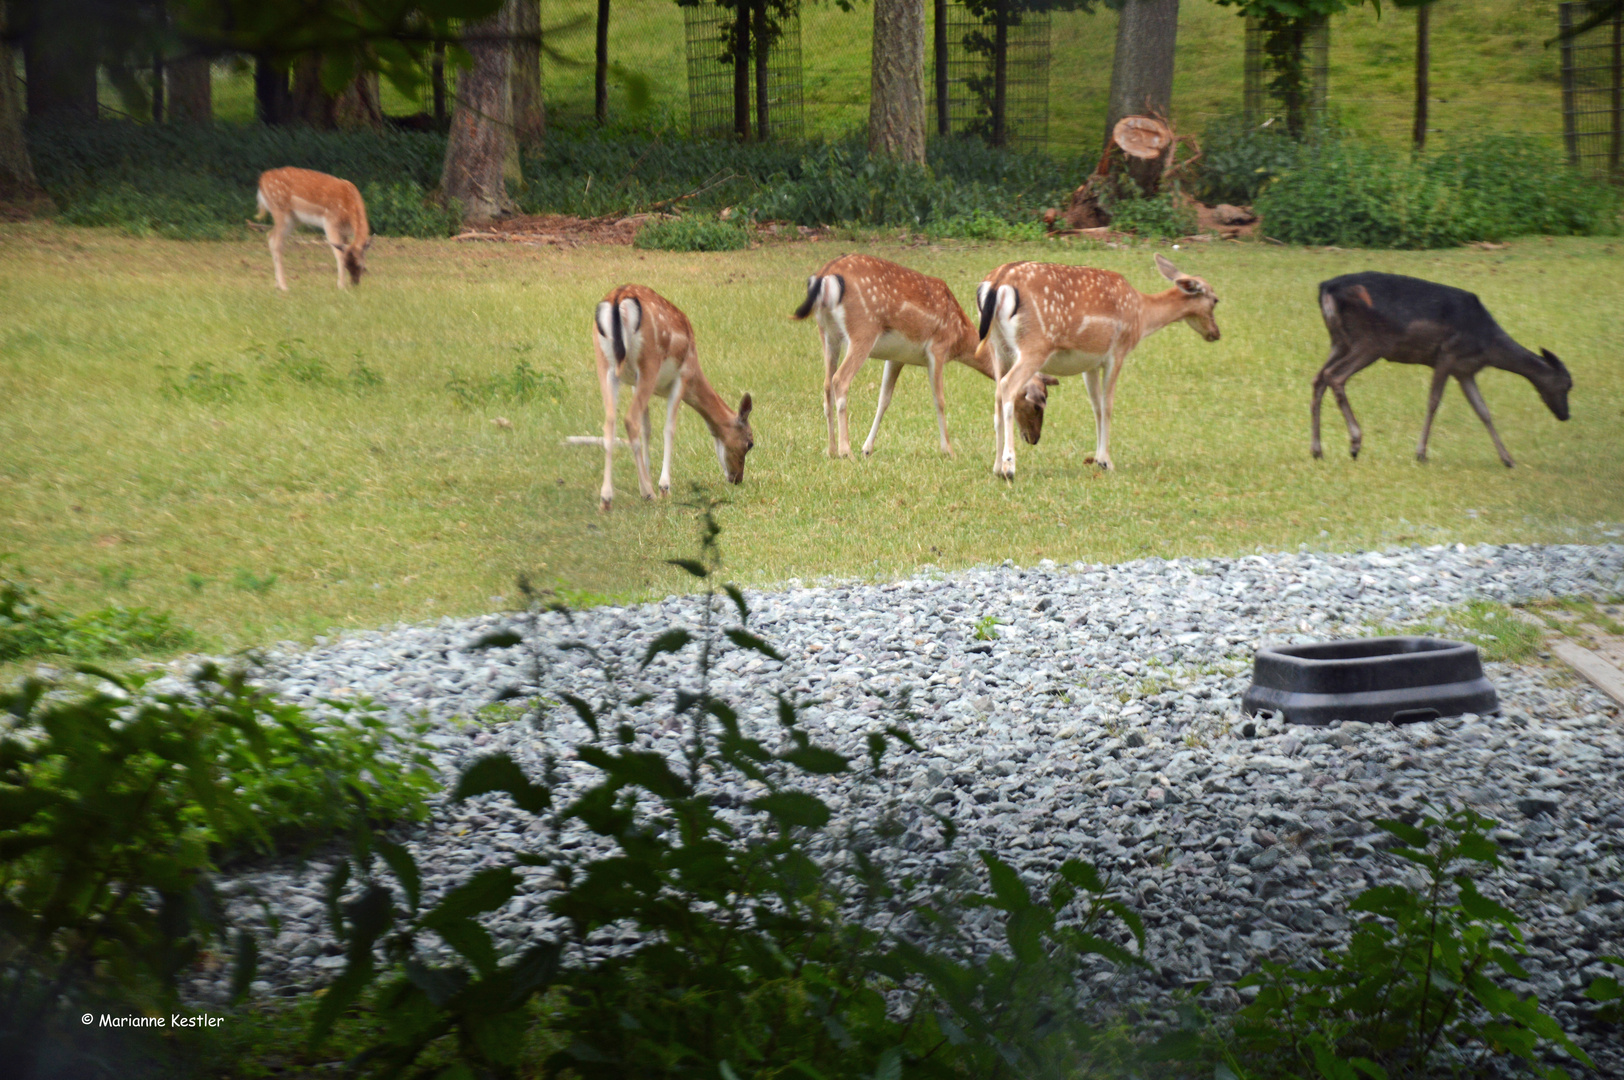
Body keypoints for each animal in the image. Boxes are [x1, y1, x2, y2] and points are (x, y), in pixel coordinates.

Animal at [591, 282, 753, 509]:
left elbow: (647, 428)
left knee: (610, 422)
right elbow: (669, 429)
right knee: (630, 419)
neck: (695, 374)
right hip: (649, 362)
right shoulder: (682, 377)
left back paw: (606, 498)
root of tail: (618, 299)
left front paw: (646, 477)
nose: (737, 478)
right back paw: (647, 493)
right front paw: (663, 487)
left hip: (605, 365)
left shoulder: (633, 383)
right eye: (750, 443)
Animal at [789, 254, 1052, 457]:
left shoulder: (897, 356)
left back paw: (831, 450)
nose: (1035, 438)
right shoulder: (937, 348)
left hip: (827, 333)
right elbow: (940, 400)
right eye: (1037, 405)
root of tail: (825, 276)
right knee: (840, 380)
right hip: (862, 330)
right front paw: (949, 450)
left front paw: (867, 448)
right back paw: (846, 451)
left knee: (826, 384)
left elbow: (884, 399)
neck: (959, 338)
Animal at [974, 254, 1221, 477]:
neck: (1142, 317)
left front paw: (1098, 458)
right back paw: (1009, 467)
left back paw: (996, 467)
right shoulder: (1116, 353)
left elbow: (1096, 406)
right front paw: (1105, 461)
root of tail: (997, 282)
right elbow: (1108, 406)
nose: (1215, 333)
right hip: (1034, 345)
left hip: (996, 346)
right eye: (1215, 300)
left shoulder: (1090, 363)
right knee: (1008, 386)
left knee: (997, 392)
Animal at [1312, 271, 1565, 464]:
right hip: (1370, 341)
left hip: (1339, 340)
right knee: (1334, 375)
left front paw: (1508, 459)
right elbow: (1433, 401)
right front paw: (1421, 454)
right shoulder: (1448, 354)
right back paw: (1355, 443)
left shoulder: (1465, 371)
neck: (1487, 345)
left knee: (1318, 378)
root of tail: (1326, 288)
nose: (1565, 414)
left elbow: (1483, 411)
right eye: (1566, 385)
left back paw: (1317, 450)